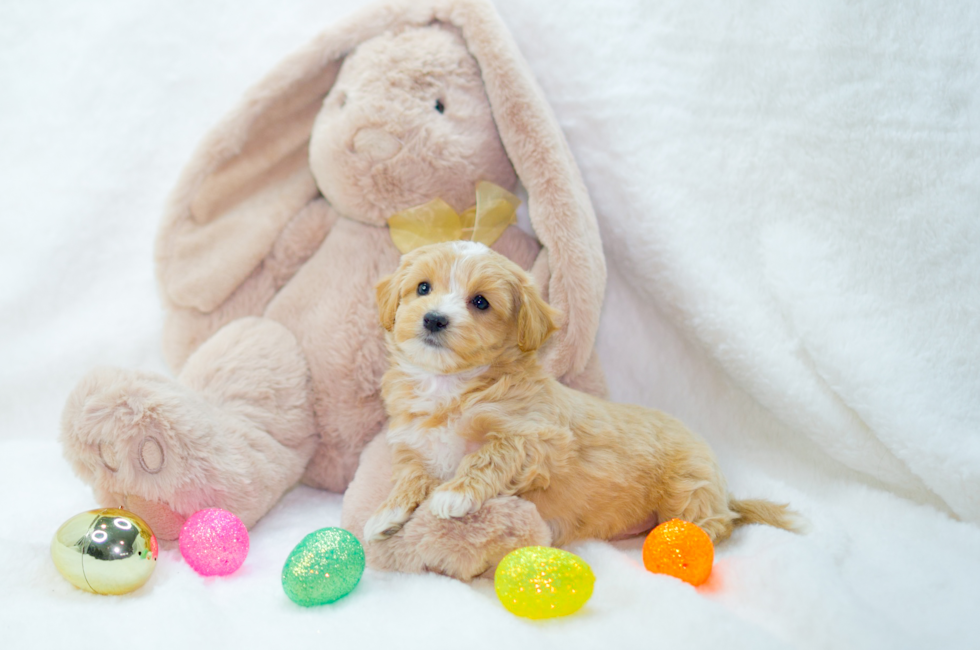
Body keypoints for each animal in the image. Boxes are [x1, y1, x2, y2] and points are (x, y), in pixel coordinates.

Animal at [364, 240, 800, 544]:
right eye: (423, 288)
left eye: (480, 302)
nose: (434, 319)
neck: (449, 386)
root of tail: (725, 492)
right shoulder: (414, 448)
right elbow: (410, 479)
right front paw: (387, 513)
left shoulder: (535, 438)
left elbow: (488, 455)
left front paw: (455, 493)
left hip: (688, 490)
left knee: (717, 525)